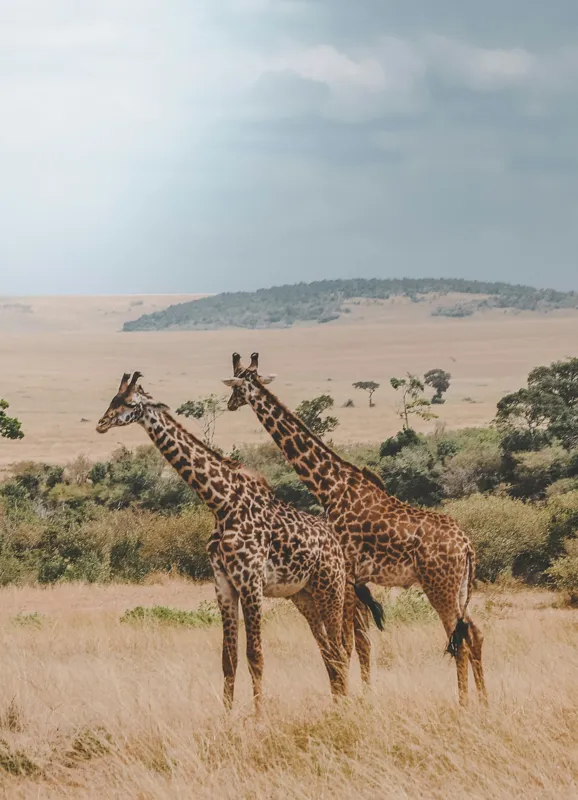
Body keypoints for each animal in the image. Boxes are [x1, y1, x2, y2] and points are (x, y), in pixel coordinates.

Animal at [96, 371, 360, 714]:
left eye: (129, 403)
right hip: (304, 595)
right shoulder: (223, 583)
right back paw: (337, 705)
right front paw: (227, 715)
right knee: (328, 651)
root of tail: (338, 546)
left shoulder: (250, 581)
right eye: (112, 399)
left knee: (340, 649)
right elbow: (228, 658)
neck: (220, 503)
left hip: (331, 587)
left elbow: (255, 655)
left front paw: (259, 717)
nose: (101, 423)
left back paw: (343, 707)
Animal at [223, 354, 488, 706]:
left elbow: (347, 644)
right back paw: (484, 702)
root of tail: (467, 547)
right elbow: (361, 641)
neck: (329, 485)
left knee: (457, 639)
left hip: (439, 587)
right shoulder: (357, 579)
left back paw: (463, 704)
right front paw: (363, 696)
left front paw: (348, 699)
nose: (229, 404)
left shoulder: (346, 572)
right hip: (458, 588)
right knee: (474, 633)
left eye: (237, 385)